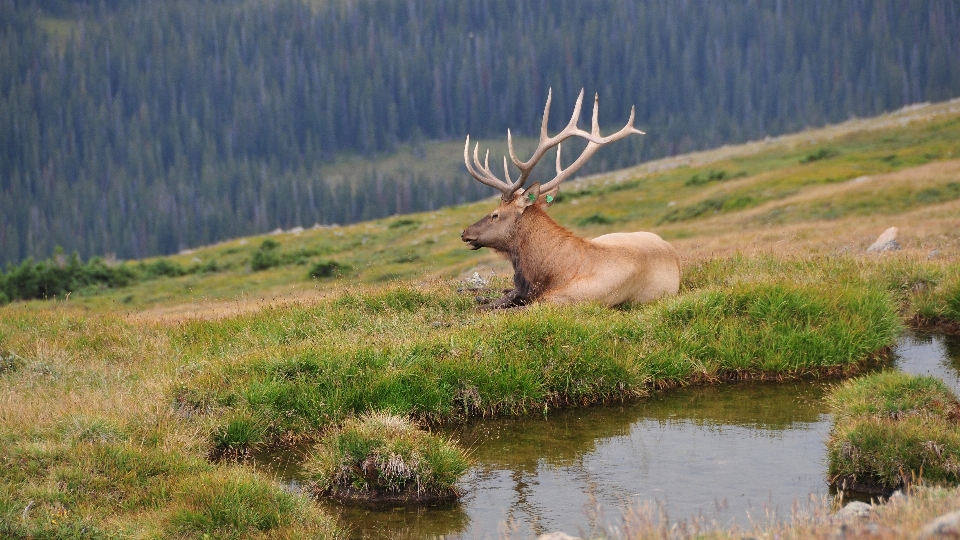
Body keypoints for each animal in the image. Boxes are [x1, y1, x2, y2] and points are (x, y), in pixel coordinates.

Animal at [462, 88, 680, 308]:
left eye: (495, 215)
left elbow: (490, 309)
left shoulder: (557, 301)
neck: (548, 273)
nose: (465, 232)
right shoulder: (522, 292)